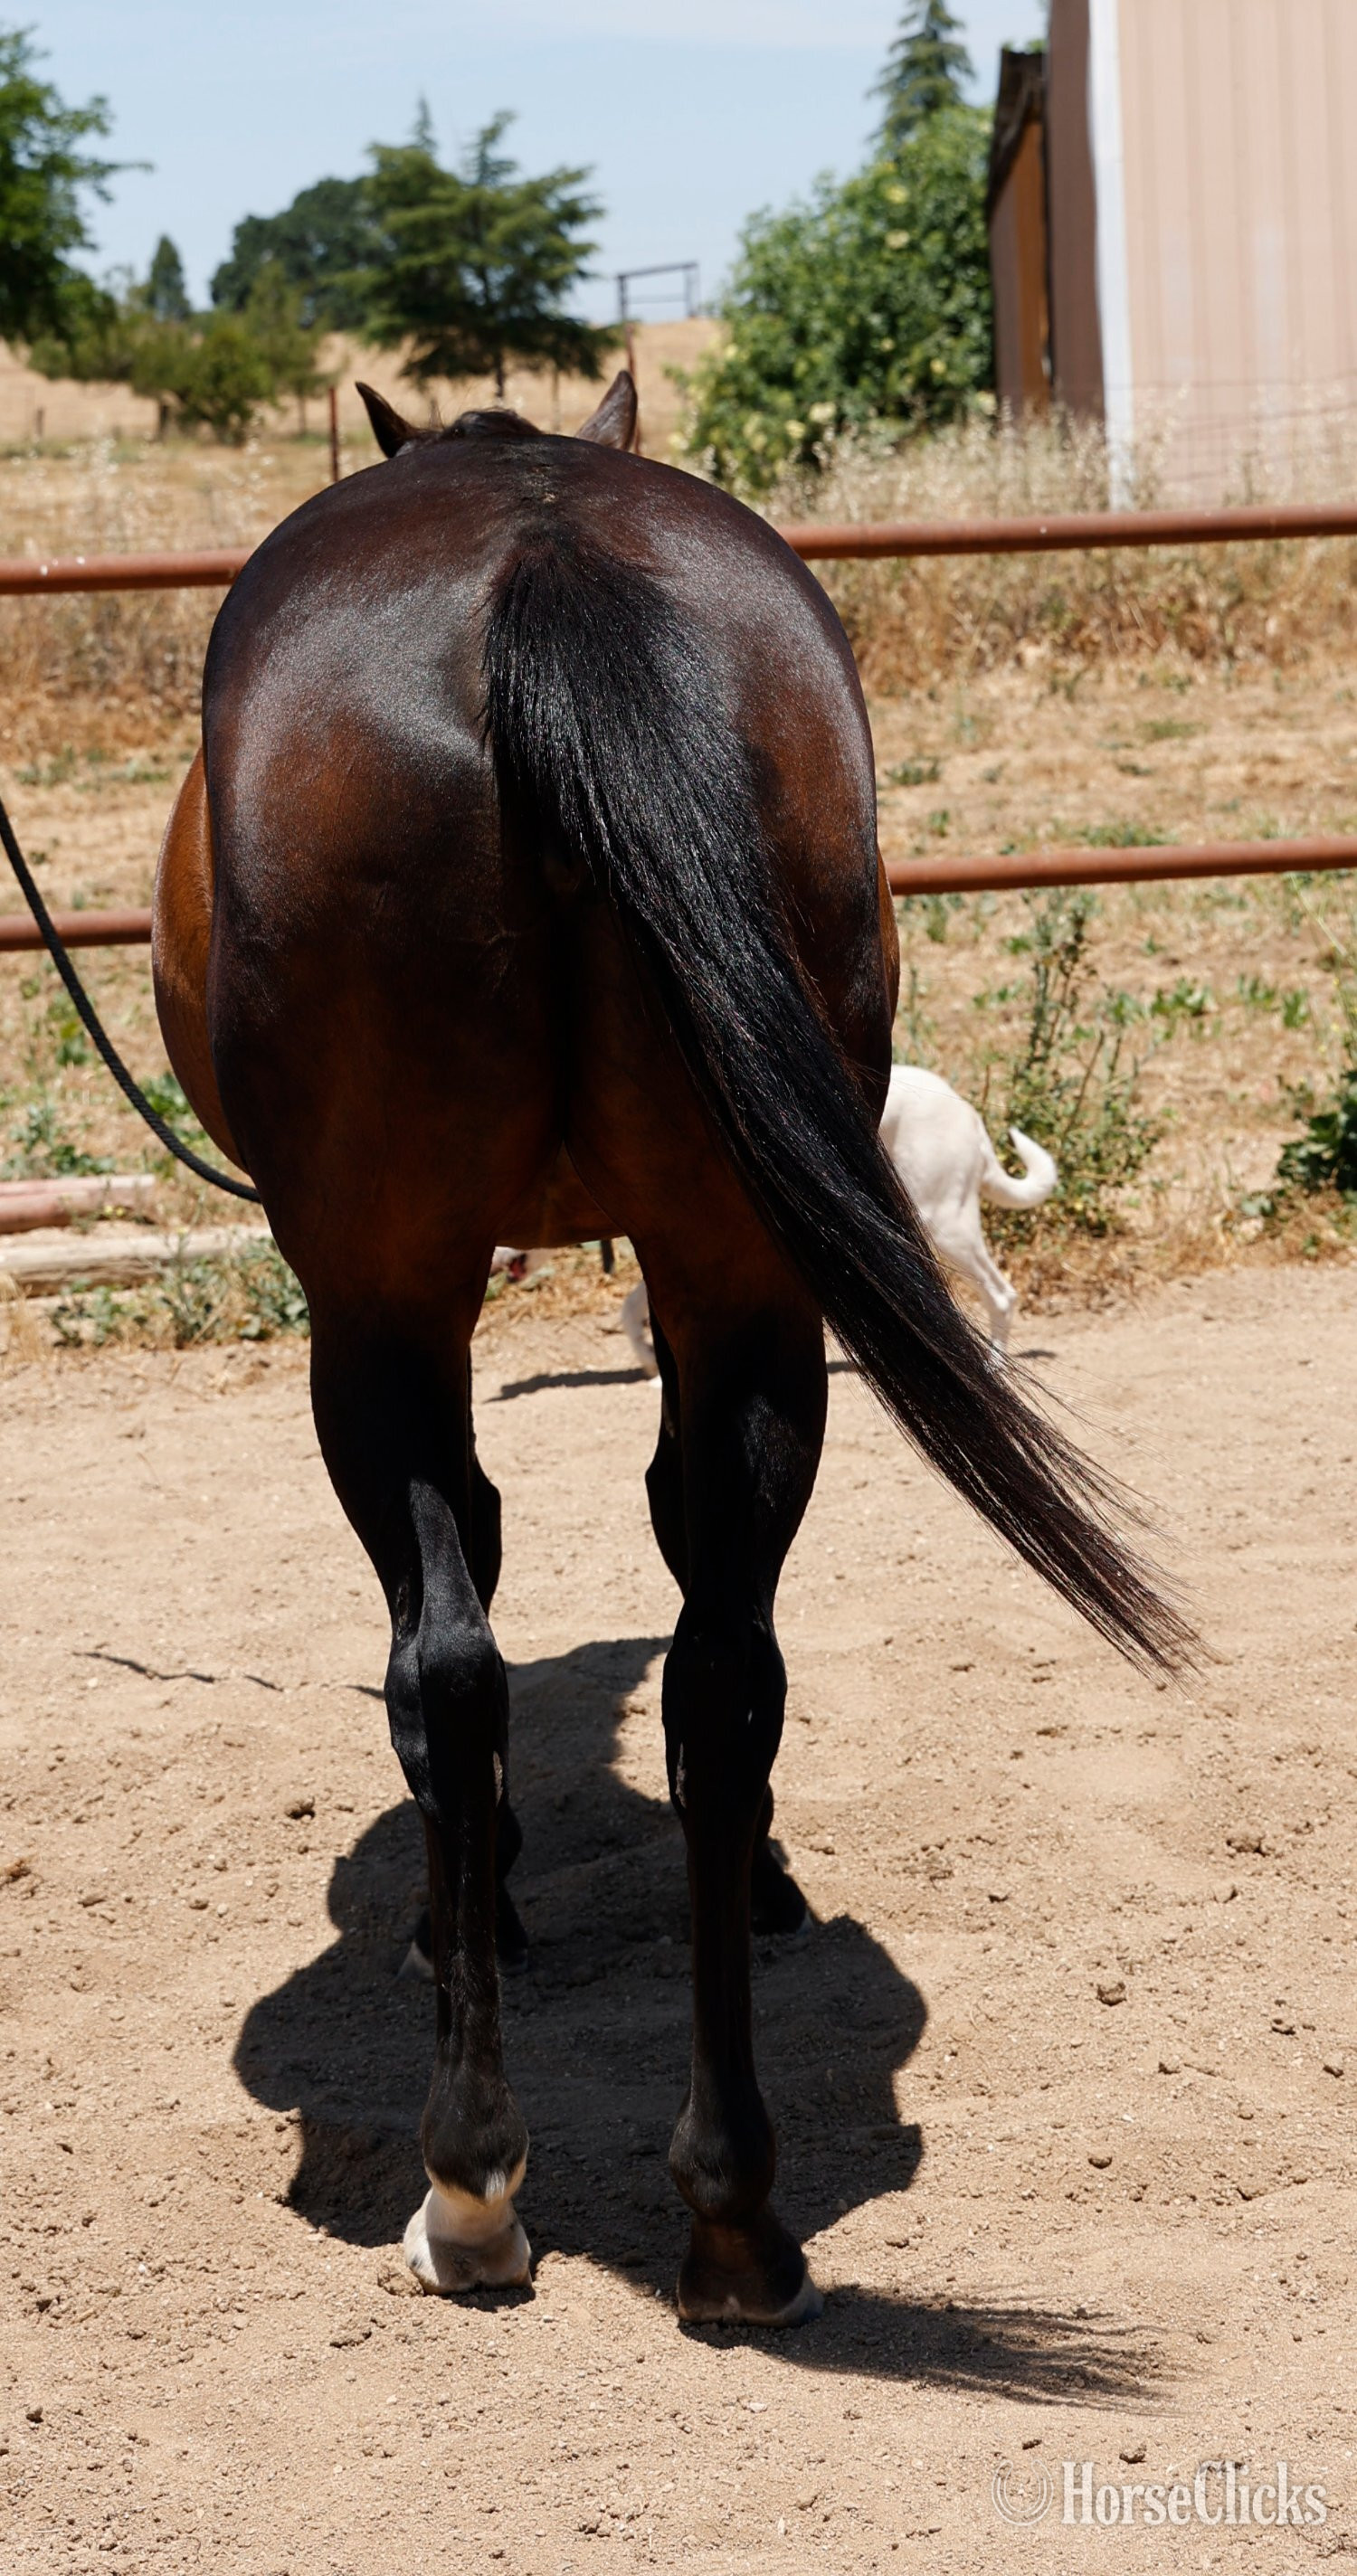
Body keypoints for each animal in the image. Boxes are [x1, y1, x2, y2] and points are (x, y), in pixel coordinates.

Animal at [152, 369, 1188, 2326]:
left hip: (381, 1295)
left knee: (455, 1659)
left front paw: (464, 1905)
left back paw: (473, 2183)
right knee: (725, 1662)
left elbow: (466, 1594)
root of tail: (537, 566)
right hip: (743, 1269)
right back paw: (733, 2208)